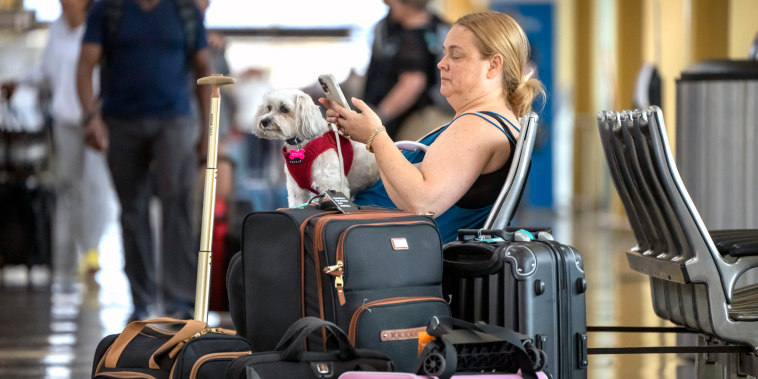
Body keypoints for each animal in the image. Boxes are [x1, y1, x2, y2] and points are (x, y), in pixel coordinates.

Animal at [252, 89, 380, 208]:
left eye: (284, 109)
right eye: (268, 107)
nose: (264, 121)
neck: (300, 144)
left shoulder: (332, 186)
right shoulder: (297, 191)